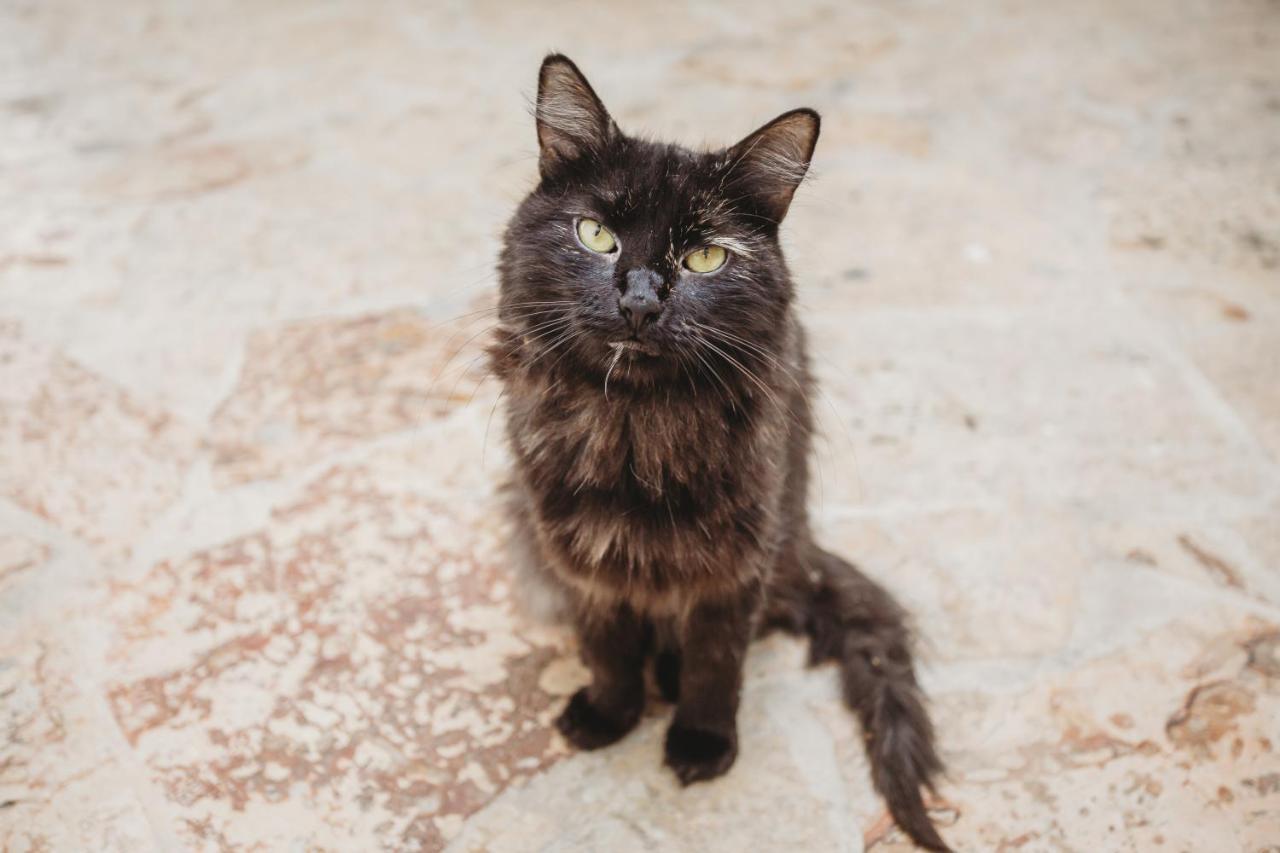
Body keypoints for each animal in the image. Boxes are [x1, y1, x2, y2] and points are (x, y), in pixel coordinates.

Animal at [488, 54, 952, 850]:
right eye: (596, 235)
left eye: (704, 256)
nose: (640, 300)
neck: (634, 424)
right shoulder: (578, 553)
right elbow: (607, 645)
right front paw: (609, 715)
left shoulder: (734, 561)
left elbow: (714, 661)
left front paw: (702, 742)